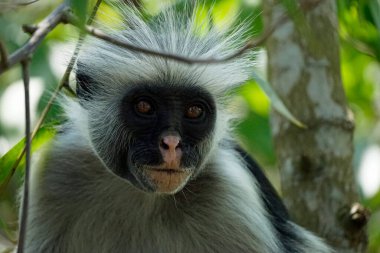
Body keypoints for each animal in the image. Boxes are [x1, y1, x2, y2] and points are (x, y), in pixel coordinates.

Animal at [23, 1, 332, 253]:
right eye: (144, 107)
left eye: (194, 111)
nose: (171, 144)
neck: (147, 196)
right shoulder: (55, 172)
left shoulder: (235, 194)